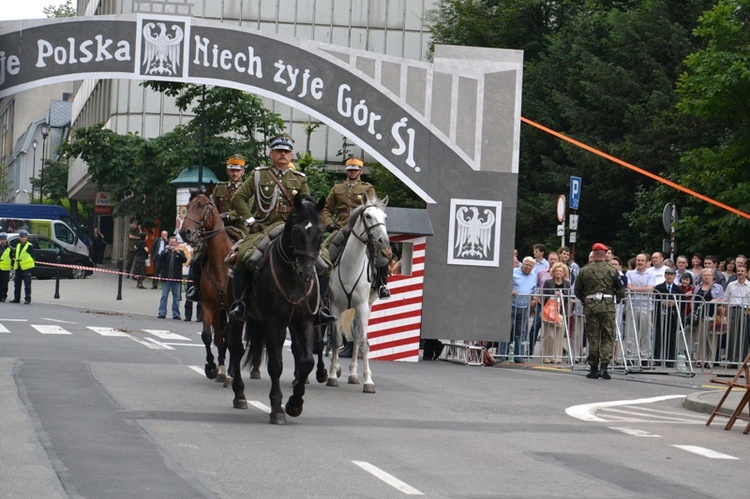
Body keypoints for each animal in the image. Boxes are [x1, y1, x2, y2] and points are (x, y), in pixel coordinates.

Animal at [228, 193, 324, 424]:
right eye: (296, 230)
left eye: (320, 231)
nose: (307, 273)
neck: (292, 277)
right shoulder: (272, 321)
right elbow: (275, 364)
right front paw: (277, 407)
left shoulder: (304, 321)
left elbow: (306, 361)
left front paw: (294, 404)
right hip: (238, 314)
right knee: (236, 348)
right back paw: (239, 394)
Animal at [326, 195, 390, 394]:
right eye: (368, 216)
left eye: (385, 217)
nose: (383, 241)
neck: (351, 266)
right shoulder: (334, 306)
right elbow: (336, 339)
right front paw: (332, 374)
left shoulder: (362, 306)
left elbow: (363, 342)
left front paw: (368, 381)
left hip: (366, 306)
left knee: (355, 336)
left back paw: (353, 374)